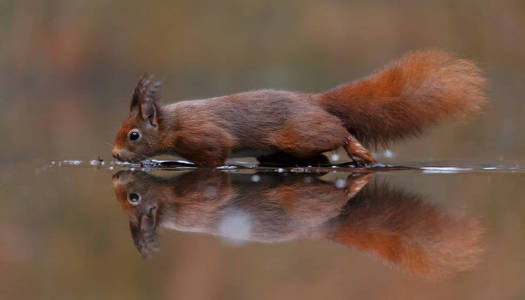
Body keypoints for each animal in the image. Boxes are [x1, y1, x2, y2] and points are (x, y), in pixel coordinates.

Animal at [112, 49, 486, 166]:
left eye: (133, 135)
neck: (174, 124)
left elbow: (214, 159)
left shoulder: (206, 138)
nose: (114, 155)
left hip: (301, 133)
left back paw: (359, 152)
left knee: (338, 132)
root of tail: (314, 101)